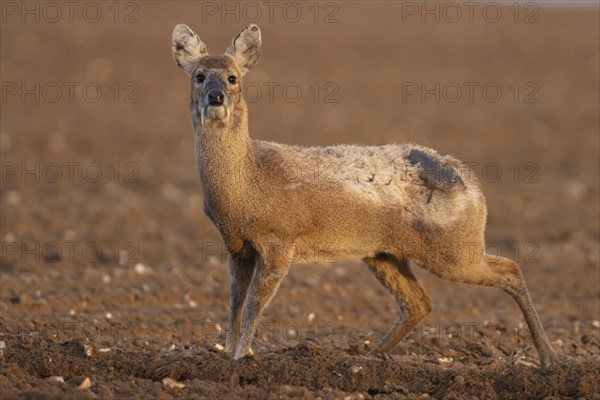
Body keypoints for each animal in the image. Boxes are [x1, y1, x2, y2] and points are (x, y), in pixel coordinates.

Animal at [172, 22, 556, 368]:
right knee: (419, 301)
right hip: (383, 252)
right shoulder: (236, 246)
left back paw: (549, 359)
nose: (216, 97)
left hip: (454, 249)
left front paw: (242, 357)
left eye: (233, 77)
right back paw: (368, 357)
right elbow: (235, 303)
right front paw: (225, 356)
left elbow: (255, 304)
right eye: (200, 76)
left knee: (509, 269)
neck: (247, 186)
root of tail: (472, 184)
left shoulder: (281, 241)